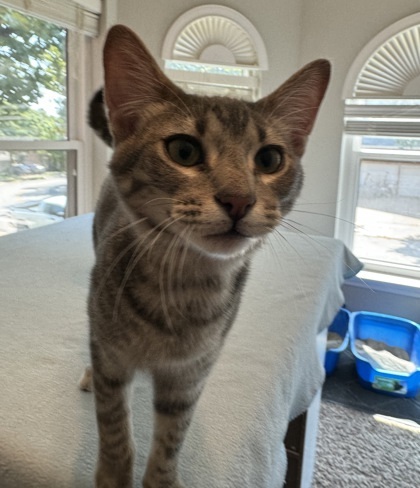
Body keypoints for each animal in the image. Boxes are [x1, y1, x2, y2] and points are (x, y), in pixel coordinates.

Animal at [81, 23, 332, 488]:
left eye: (270, 158)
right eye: (184, 151)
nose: (239, 199)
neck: (184, 286)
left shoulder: (189, 378)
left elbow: (171, 440)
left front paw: (161, 479)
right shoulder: (112, 360)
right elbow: (114, 427)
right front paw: (113, 474)